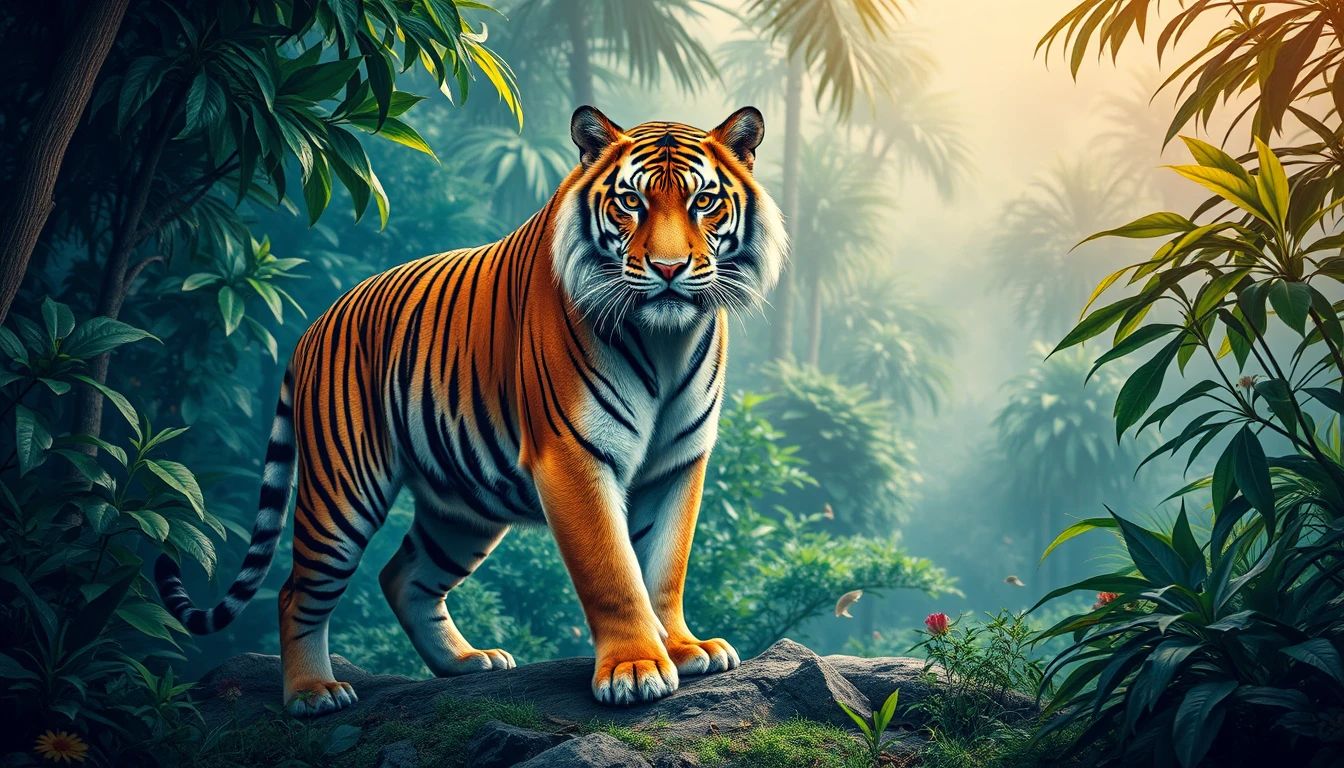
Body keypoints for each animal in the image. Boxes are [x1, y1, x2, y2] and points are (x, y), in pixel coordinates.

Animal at [155, 105, 786, 715]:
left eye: (703, 202)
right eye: (631, 202)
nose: (669, 268)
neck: (665, 340)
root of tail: (314, 325)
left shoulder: (678, 462)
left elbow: (665, 566)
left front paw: (682, 649)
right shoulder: (572, 454)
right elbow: (612, 569)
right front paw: (635, 669)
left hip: (462, 505)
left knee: (403, 575)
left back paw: (465, 662)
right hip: (342, 489)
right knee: (298, 591)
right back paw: (313, 693)